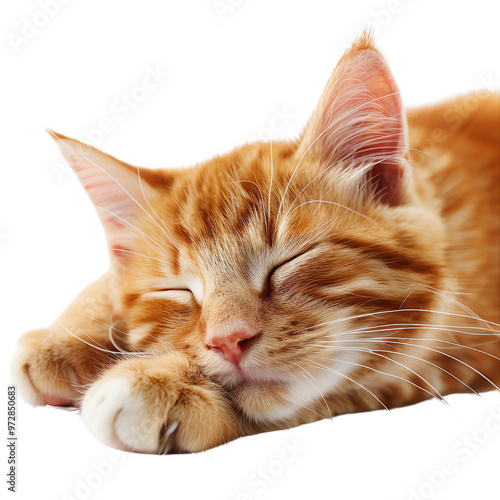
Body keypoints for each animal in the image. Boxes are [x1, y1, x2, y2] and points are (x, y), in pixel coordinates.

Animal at [9, 32, 498, 454]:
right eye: (178, 290)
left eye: (289, 261)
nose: (229, 341)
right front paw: (67, 334)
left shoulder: (455, 359)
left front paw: (165, 381)